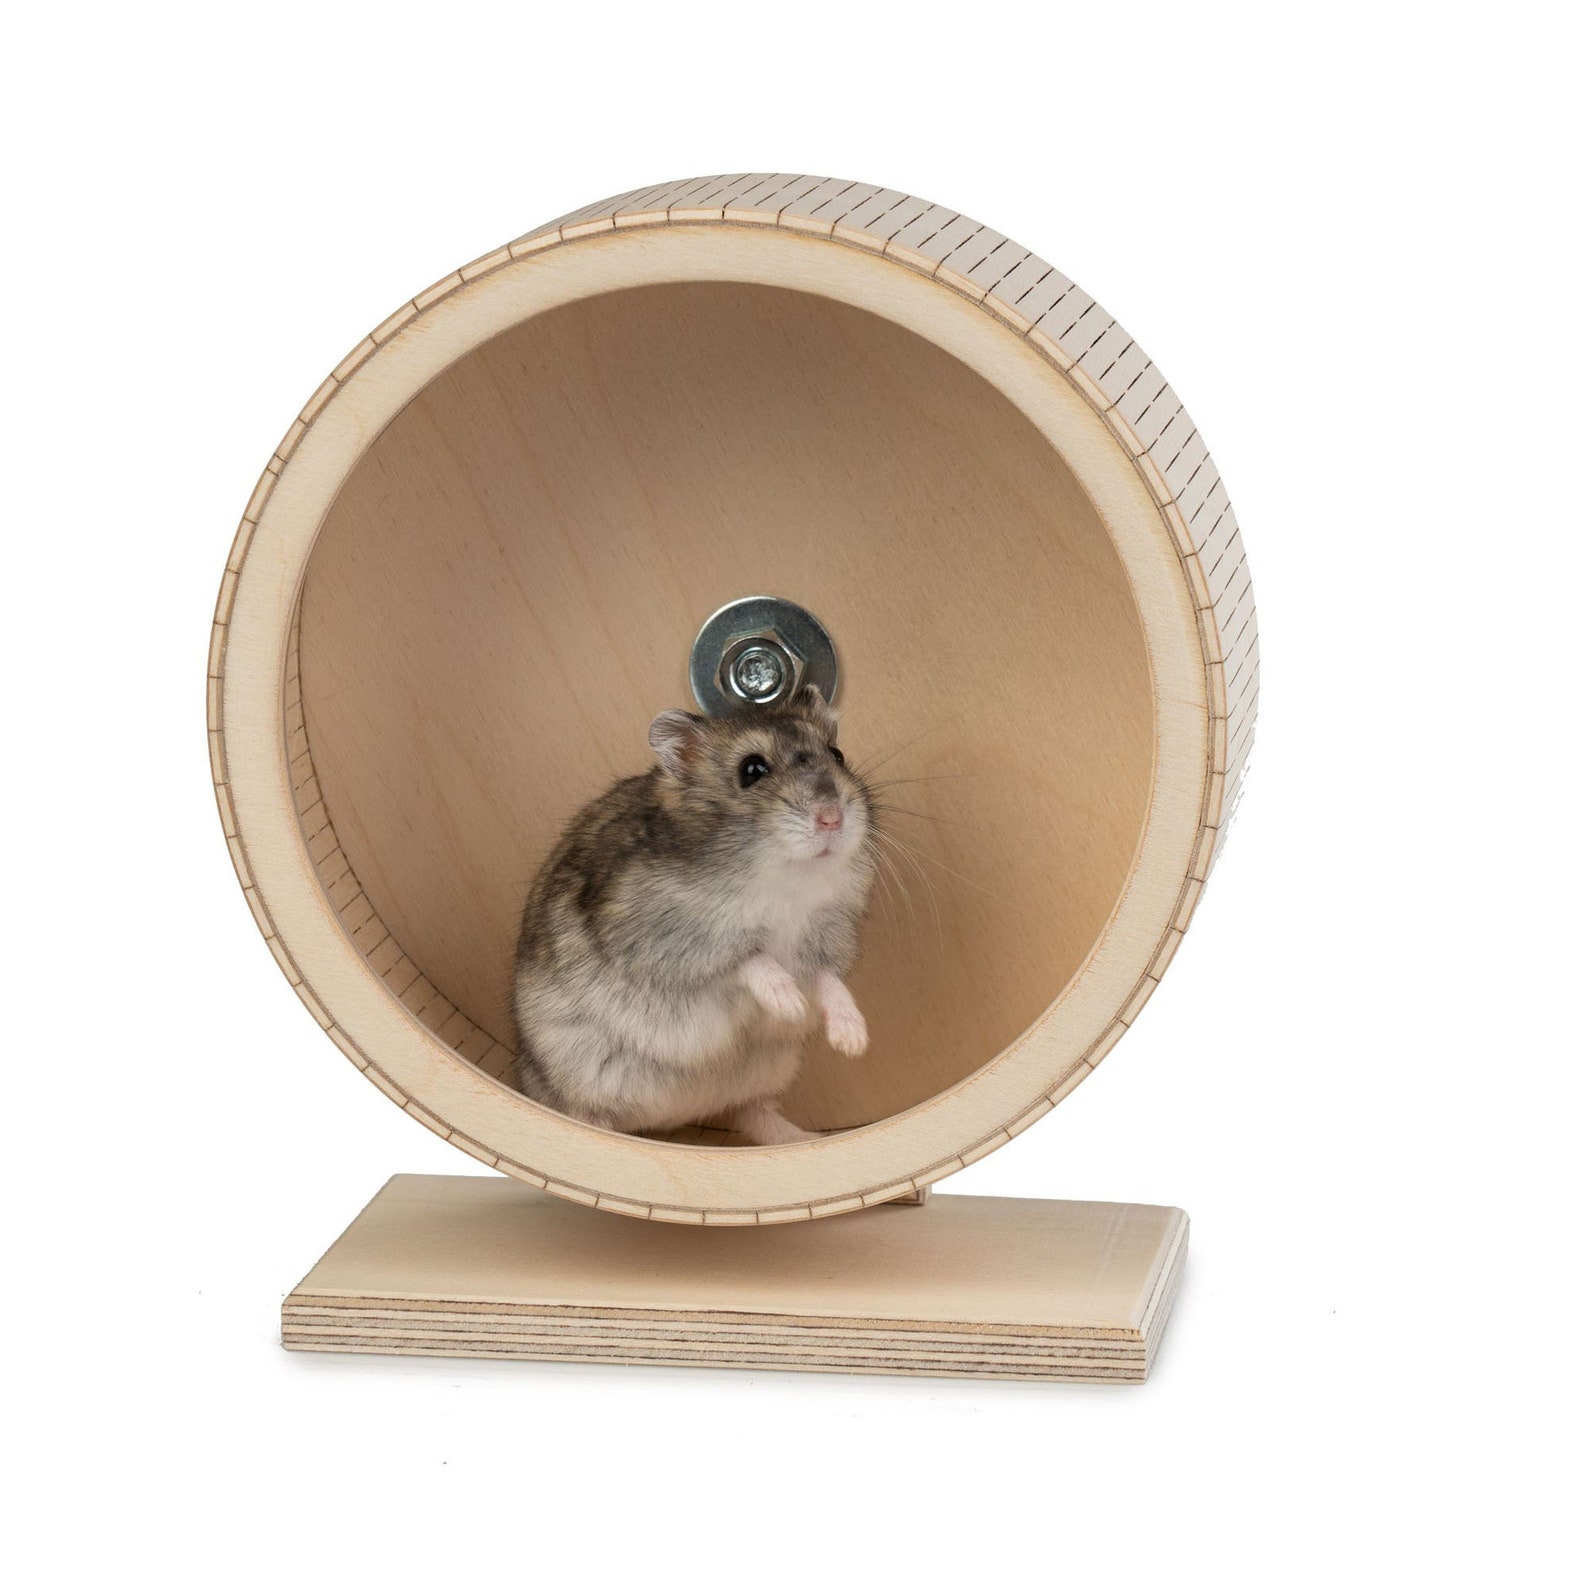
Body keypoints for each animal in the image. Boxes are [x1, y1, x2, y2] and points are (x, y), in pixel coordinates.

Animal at [513, 685, 875, 1145]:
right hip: (579, 1082)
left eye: (837, 754)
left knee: (751, 1113)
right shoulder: (670, 939)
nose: (832, 818)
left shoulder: (830, 934)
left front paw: (852, 1040)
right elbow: (749, 959)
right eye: (752, 770)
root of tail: (679, 1116)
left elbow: (829, 980)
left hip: (767, 1072)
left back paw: (807, 1140)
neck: (785, 874)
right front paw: (790, 1003)